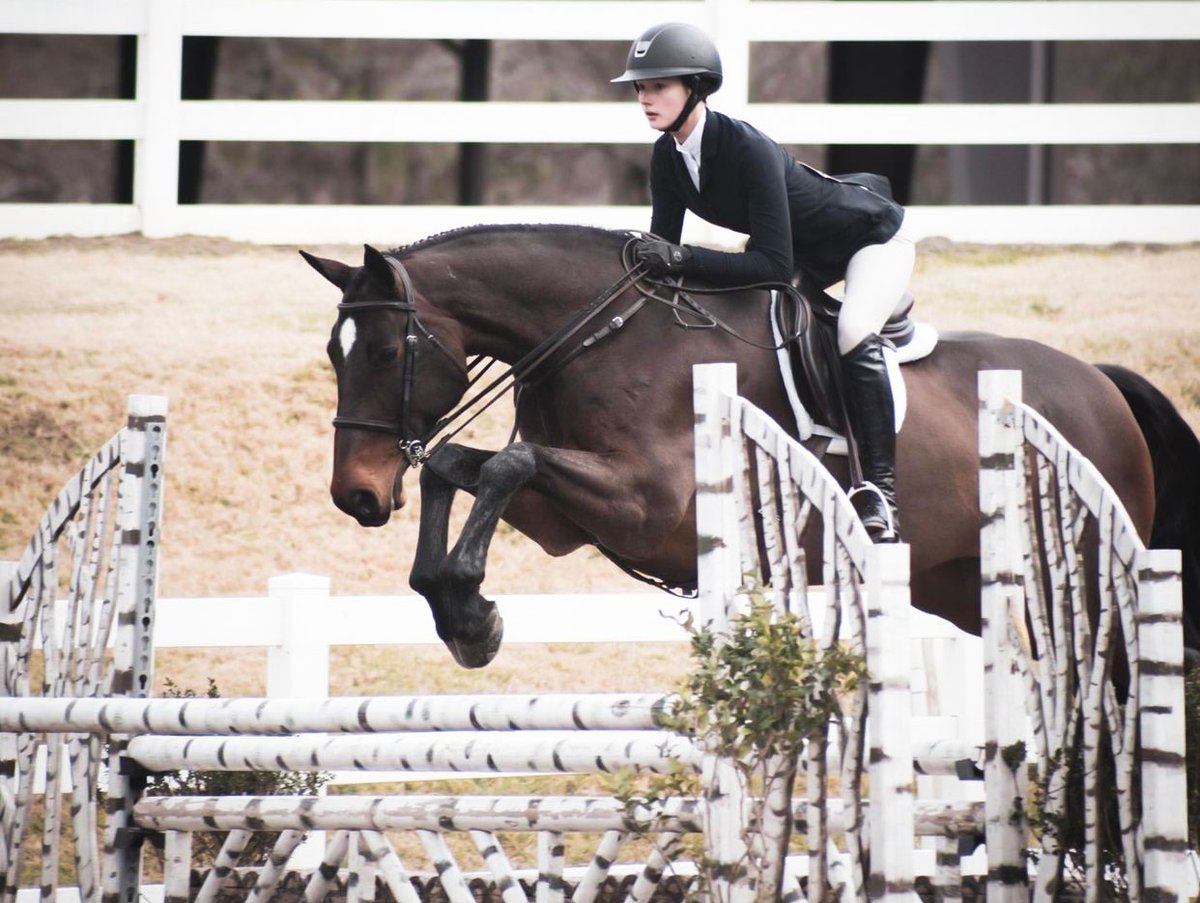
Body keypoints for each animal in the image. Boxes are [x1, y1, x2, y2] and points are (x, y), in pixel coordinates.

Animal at [301, 224, 1200, 669]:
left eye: (384, 351)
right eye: (334, 355)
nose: (357, 495)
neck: (597, 333)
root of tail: (1102, 384)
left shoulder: (647, 506)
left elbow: (504, 462)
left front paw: (470, 611)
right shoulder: (570, 522)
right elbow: (463, 464)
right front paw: (462, 614)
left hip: (1076, 577)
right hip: (963, 584)